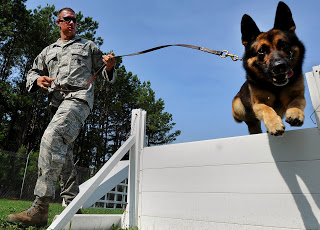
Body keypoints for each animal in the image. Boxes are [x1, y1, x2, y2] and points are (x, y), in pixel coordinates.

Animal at [232, 0, 304, 136]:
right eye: (261, 51)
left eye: (284, 45)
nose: (279, 66)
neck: (275, 87)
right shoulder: (258, 103)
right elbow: (267, 108)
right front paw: (274, 124)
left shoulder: (298, 95)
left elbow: (296, 101)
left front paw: (295, 112)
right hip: (237, 106)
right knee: (252, 123)